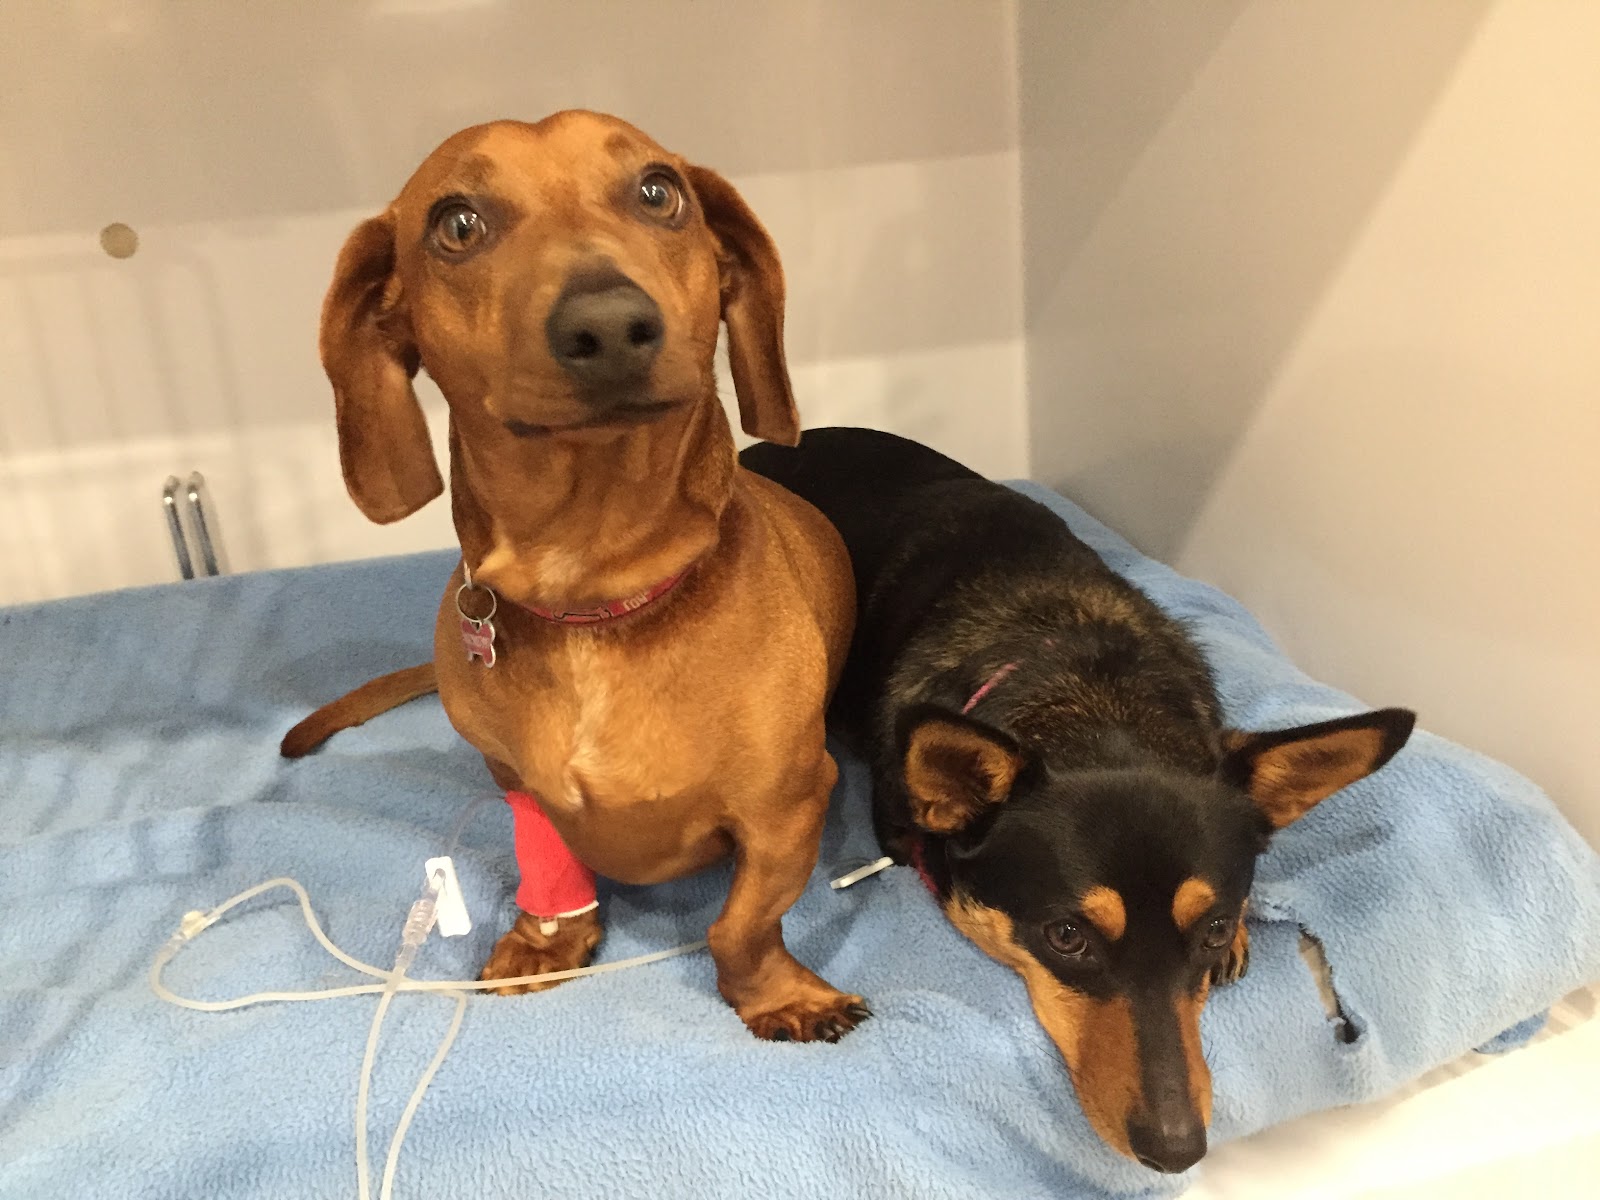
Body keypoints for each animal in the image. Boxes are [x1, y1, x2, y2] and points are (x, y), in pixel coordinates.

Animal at [283, 112, 867, 1044]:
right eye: (456, 224)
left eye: (660, 192)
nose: (610, 324)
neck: (597, 597)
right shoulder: (517, 784)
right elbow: (554, 876)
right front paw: (548, 941)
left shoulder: (789, 809)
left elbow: (739, 925)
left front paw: (778, 995)